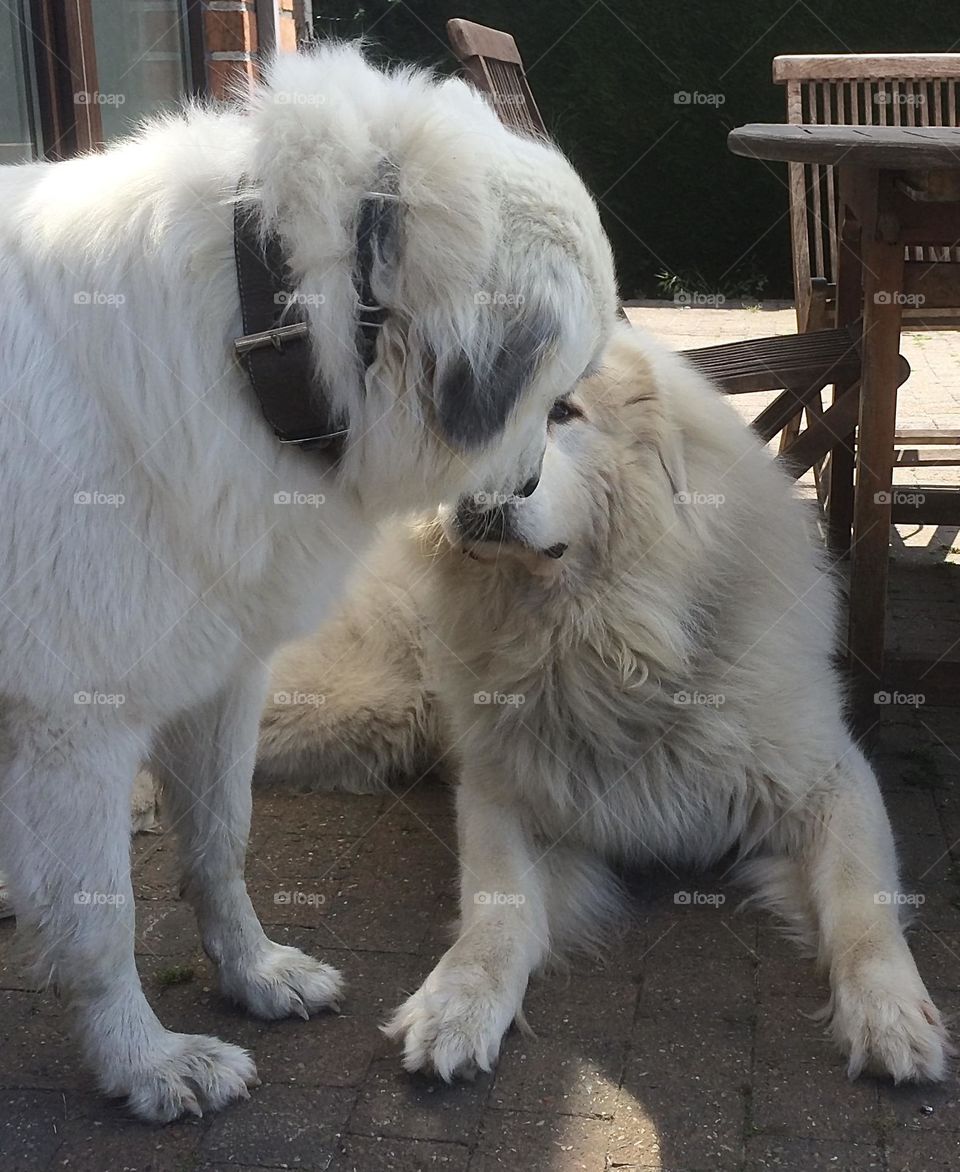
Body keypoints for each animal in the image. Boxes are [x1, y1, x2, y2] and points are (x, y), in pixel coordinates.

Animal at [0, 45, 614, 1120]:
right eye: (557, 396)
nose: (523, 491)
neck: (266, 319)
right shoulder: (71, 723)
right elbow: (100, 922)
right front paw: (143, 1063)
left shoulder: (220, 677)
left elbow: (222, 844)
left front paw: (253, 976)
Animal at [259, 325, 951, 1082]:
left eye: (563, 412)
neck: (609, 642)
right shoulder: (500, 792)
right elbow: (496, 912)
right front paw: (457, 1004)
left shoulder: (831, 779)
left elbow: (862, 903)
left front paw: (888, 1011)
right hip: (355, 703)